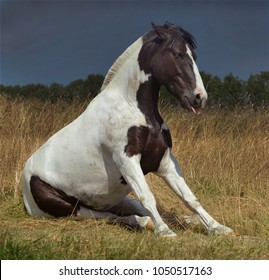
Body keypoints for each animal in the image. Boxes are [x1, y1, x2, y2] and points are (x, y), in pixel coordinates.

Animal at [23, 22, 232, 236]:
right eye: (178, 54)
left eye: (194, 56)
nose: (199, 98)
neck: (132, 107)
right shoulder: (127, 160)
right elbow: (148, 197)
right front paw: (165, 232)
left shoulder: (165, 162)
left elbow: (190, 198)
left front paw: (218, 228)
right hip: (70, 207)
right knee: (108, 216)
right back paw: (144, 223)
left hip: (118, 198)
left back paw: (185, 220)